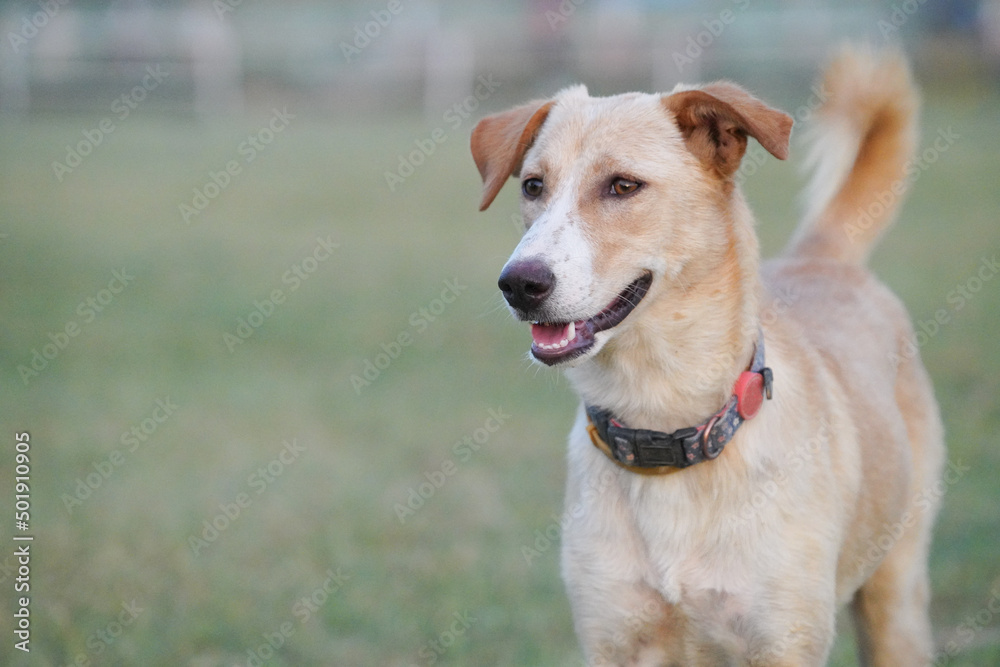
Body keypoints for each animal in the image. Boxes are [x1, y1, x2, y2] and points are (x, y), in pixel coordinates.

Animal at [468, 48, 944, 667]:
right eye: (532, 186)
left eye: (623, 185)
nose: (518, 284)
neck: (662, 425)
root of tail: (820, 258)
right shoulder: (612, 639)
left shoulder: (784, 642)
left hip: (895, 597)